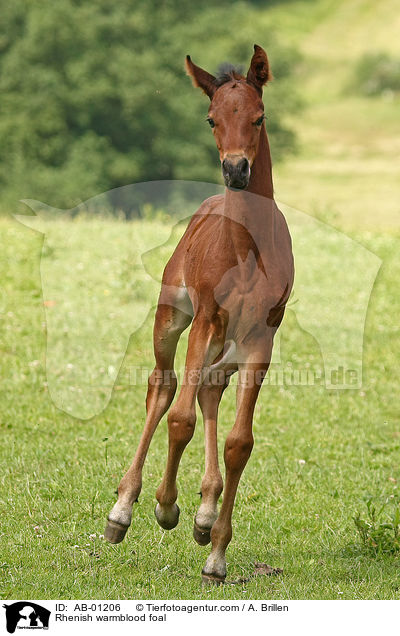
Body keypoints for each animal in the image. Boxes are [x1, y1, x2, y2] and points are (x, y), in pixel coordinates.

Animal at [104, 43, 296, 580]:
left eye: (258, 115)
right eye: (211, 118)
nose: (236, 170)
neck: (247, 248)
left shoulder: (261, 338)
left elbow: (239, 442)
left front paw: (216, 553)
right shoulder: (207, 317)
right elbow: (180, 419)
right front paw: (164, 507)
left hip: (229, 342)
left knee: (209, 390)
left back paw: (206, 513)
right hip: (174, 315)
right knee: (163, 387)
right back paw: (123, 509)